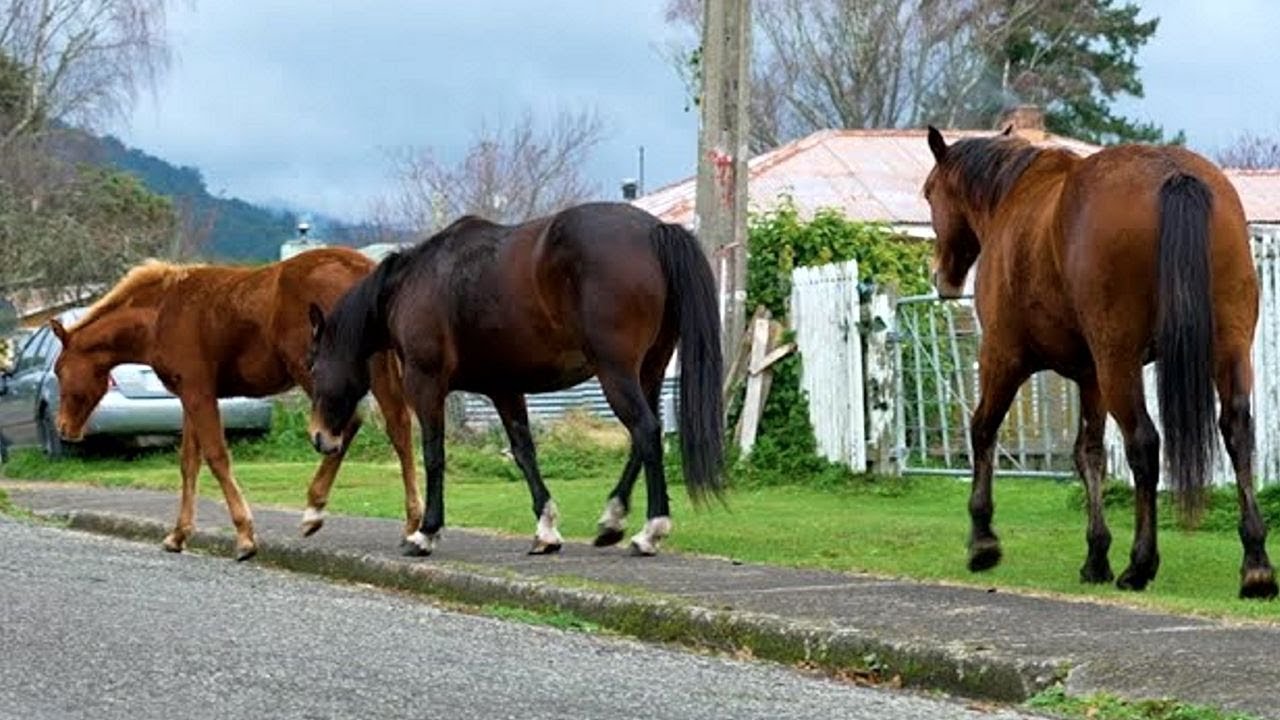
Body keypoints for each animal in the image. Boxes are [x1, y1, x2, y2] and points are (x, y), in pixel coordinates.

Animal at [50, 248, 422, 561]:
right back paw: (410, 525)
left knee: (349, 423)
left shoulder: (198, 392)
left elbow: (216, 457)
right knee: (399, 427)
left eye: (59, 369)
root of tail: (364, 269)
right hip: (378, 367)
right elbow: (189, 463)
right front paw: (178, 535)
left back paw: (315, 510)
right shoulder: (190, 395)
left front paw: (244, 537)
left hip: (319, 368)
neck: (161, 314)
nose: (64, 428)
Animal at [306, 201, 725, 557]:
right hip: (649, 371)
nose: (319, 437)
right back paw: (612, 520)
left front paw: (425, 533)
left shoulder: (426, 385)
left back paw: (650, 530)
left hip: (616, 372)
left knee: (646, 431)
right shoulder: (504, 389)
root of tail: (655, 231)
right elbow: (524, 453)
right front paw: (546, 530)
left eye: (313, 366)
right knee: (645, 436)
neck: (412, 284)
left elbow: (435, 454)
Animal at [922, 125, 1277, 599]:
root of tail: (1174, 174)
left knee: (1144, 442)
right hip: (1227, 348)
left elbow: (982, 431)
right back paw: (1256, 564)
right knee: (1236, 430)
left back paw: (1141, 563)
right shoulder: (1089, 377)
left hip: (1118, 361)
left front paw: (983, 541)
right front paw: (1096, 554)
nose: (942, 277)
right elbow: (1087, 454)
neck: (1012, 197)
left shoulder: (1001, 357)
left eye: (929, 193)